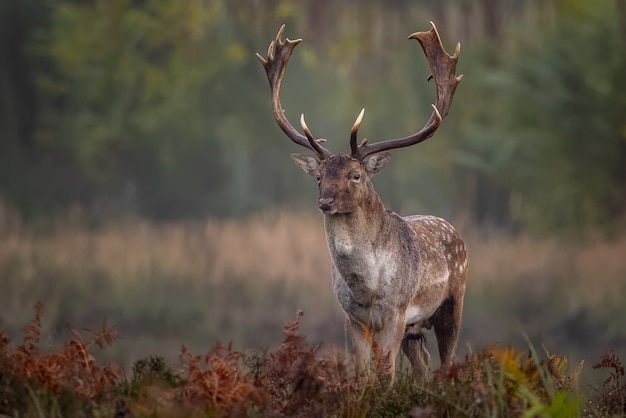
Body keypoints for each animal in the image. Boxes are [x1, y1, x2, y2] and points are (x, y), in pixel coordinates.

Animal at [256, 22, 466, 382]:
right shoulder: (352, 316)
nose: (325, 201)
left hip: (453, 302)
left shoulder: (397, 309)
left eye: (356, 175)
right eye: (318, 176)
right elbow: (361, 373)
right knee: (423, 362)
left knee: (447, 362)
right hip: (415, 327)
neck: (367, 289)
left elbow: (386, 373)